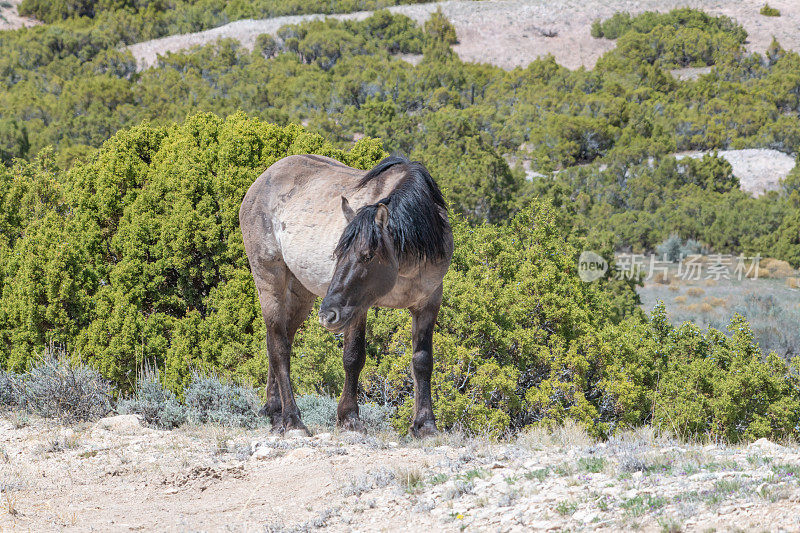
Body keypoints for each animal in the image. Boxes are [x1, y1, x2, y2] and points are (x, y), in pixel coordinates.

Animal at [238, 154, 454, 436]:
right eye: (337, 253)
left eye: (367, 255)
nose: (328, 315)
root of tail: (262, 180)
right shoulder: (358, 307)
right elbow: (353, 357)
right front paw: (349, 417)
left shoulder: (428, 302)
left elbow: (422, 361)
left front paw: (425, 425)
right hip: (269, 279)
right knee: (279, 348)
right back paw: (293, 420)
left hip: (300, 293)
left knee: (279, 340)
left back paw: (276, 415)